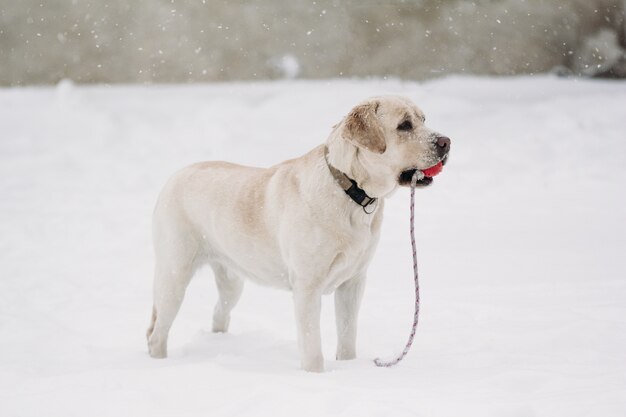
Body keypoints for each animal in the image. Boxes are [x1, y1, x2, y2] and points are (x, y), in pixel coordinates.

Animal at [146, 95, 448, 370]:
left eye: (423, 119)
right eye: (404, 125)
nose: (446, 142)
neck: (349, 189)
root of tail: (175, 175)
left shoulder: (353, 283)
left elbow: (347, 336)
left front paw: (349, 365)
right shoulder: (307, 286)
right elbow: (312, 345)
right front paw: (316, 375)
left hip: (232, 281)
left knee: (219, 312)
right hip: (174, 276)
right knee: (156, 333)